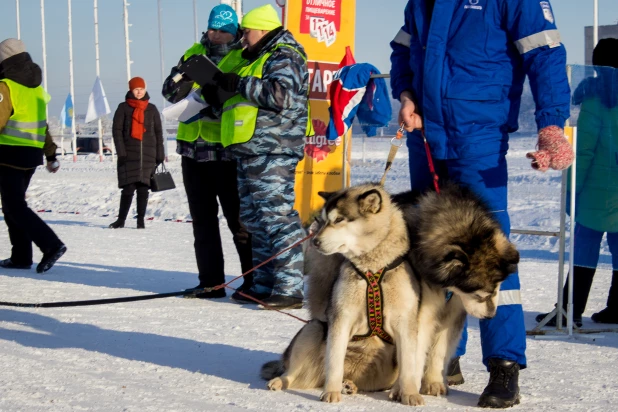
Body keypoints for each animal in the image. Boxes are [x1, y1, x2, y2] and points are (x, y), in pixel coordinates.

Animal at [260, 184, 424, 406]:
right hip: (313, 329)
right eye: (322, 220)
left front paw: (410, 393)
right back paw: (282, 381)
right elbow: (334, 361)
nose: (315, 241)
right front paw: (331, 392)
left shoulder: (405, 321)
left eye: (338, 219)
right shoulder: (341, 318)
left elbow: (408, 365)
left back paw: (351, 385)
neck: (372, 269)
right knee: (293, 372)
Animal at [392, 183, 516, 396]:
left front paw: (433, 381)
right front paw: (408, 387)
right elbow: (415, 352)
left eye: (497, 288)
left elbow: (439, 351)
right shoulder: (422, 314)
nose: (490, 316)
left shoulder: (453, 314)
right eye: (478, 294)